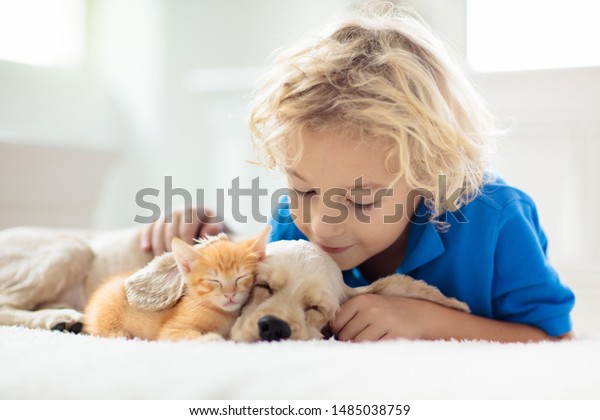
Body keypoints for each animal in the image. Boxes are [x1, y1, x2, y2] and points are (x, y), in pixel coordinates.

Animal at [84, 226, 270, 342]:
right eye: (214, 280)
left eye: (241, 277)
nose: (230, 294)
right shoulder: (171, 331)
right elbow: (189, 336)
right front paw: (211, 338)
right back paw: (118, 333)